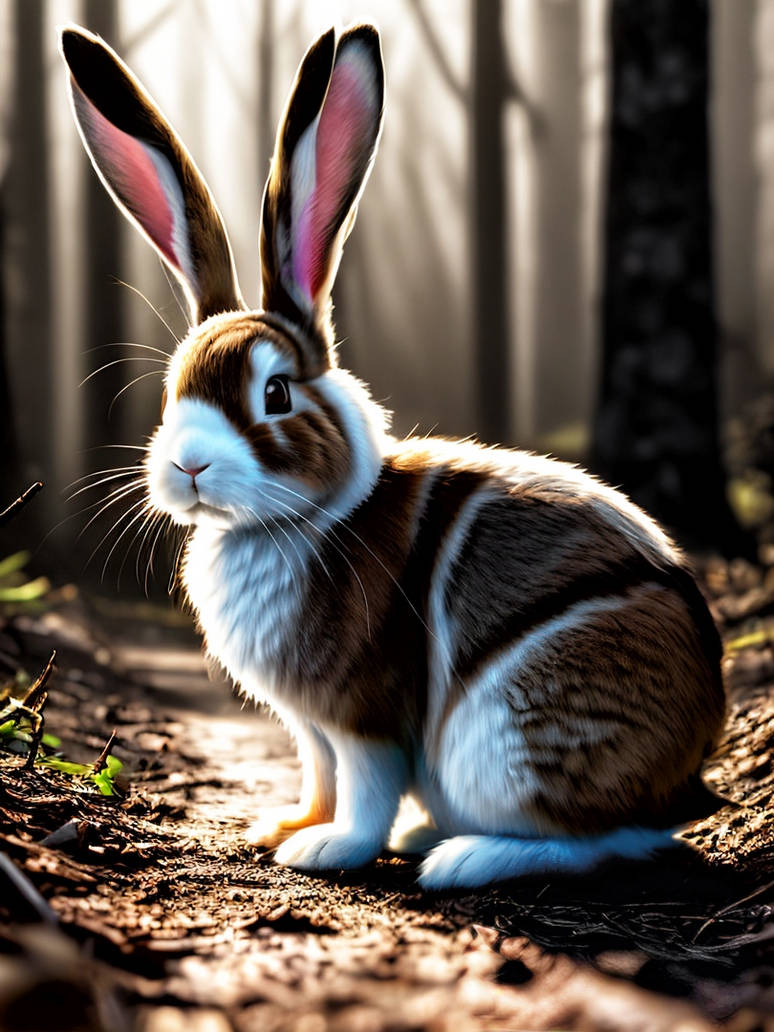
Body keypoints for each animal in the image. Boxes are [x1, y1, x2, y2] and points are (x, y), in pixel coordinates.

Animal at [59, 23, 726, 889]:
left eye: (275, 393)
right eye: (174, 392)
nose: (189, 467)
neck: (297, 521)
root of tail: (691, 765)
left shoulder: (364, 715)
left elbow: (366, 789)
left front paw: (327, 850)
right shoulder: (310, 728)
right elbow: (318, 775)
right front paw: (284, 828)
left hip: (513, 737)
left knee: (600, 837)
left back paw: (458, 859)